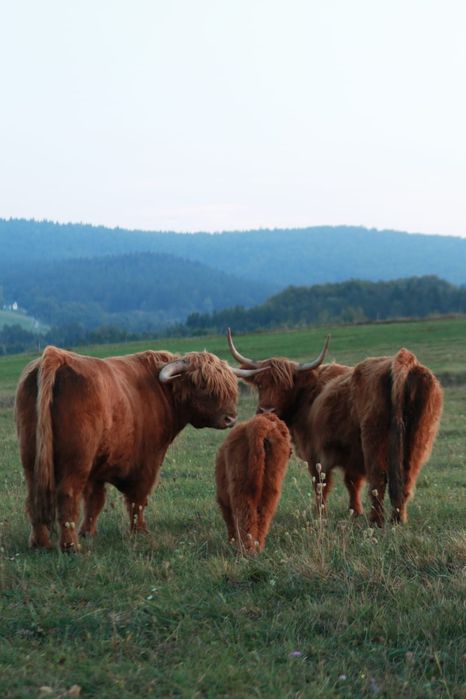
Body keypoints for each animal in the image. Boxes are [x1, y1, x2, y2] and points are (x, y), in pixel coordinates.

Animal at [15, 345, 255, 551]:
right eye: (202, 384)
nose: (230, 418)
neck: (163, 391)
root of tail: (55, 355)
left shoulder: (97, 468)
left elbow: (95, 501)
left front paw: (88, 532)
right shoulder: (148, 461)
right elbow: (138, 499)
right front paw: (139, 531)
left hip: (31, 458)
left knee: (34, 497)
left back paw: (39, 543)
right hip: (76, 461)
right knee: (67, 495)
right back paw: (70, 546)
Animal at [215, 412, 291, 554]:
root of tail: (261, 423)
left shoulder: (223, 498)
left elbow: (230, 521)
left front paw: (231, 542)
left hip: (241, 488)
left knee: (246, 517)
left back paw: (246, 550)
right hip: (271, 487)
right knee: (262, 517)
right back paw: (257, 547)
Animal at [227, 330, 443, 526]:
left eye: (286, 386)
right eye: (260, 384)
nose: (266, 410)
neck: (308, 396)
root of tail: (402, 361)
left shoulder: (315, 453)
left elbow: (321, 483)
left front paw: (320, 513)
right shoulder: (352, 454)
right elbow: (352, 481)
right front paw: (354, 511)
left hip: (373, 439)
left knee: (378, 479)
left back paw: (376, 520)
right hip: (416, 441)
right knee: (406, 478)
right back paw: (399, 518)